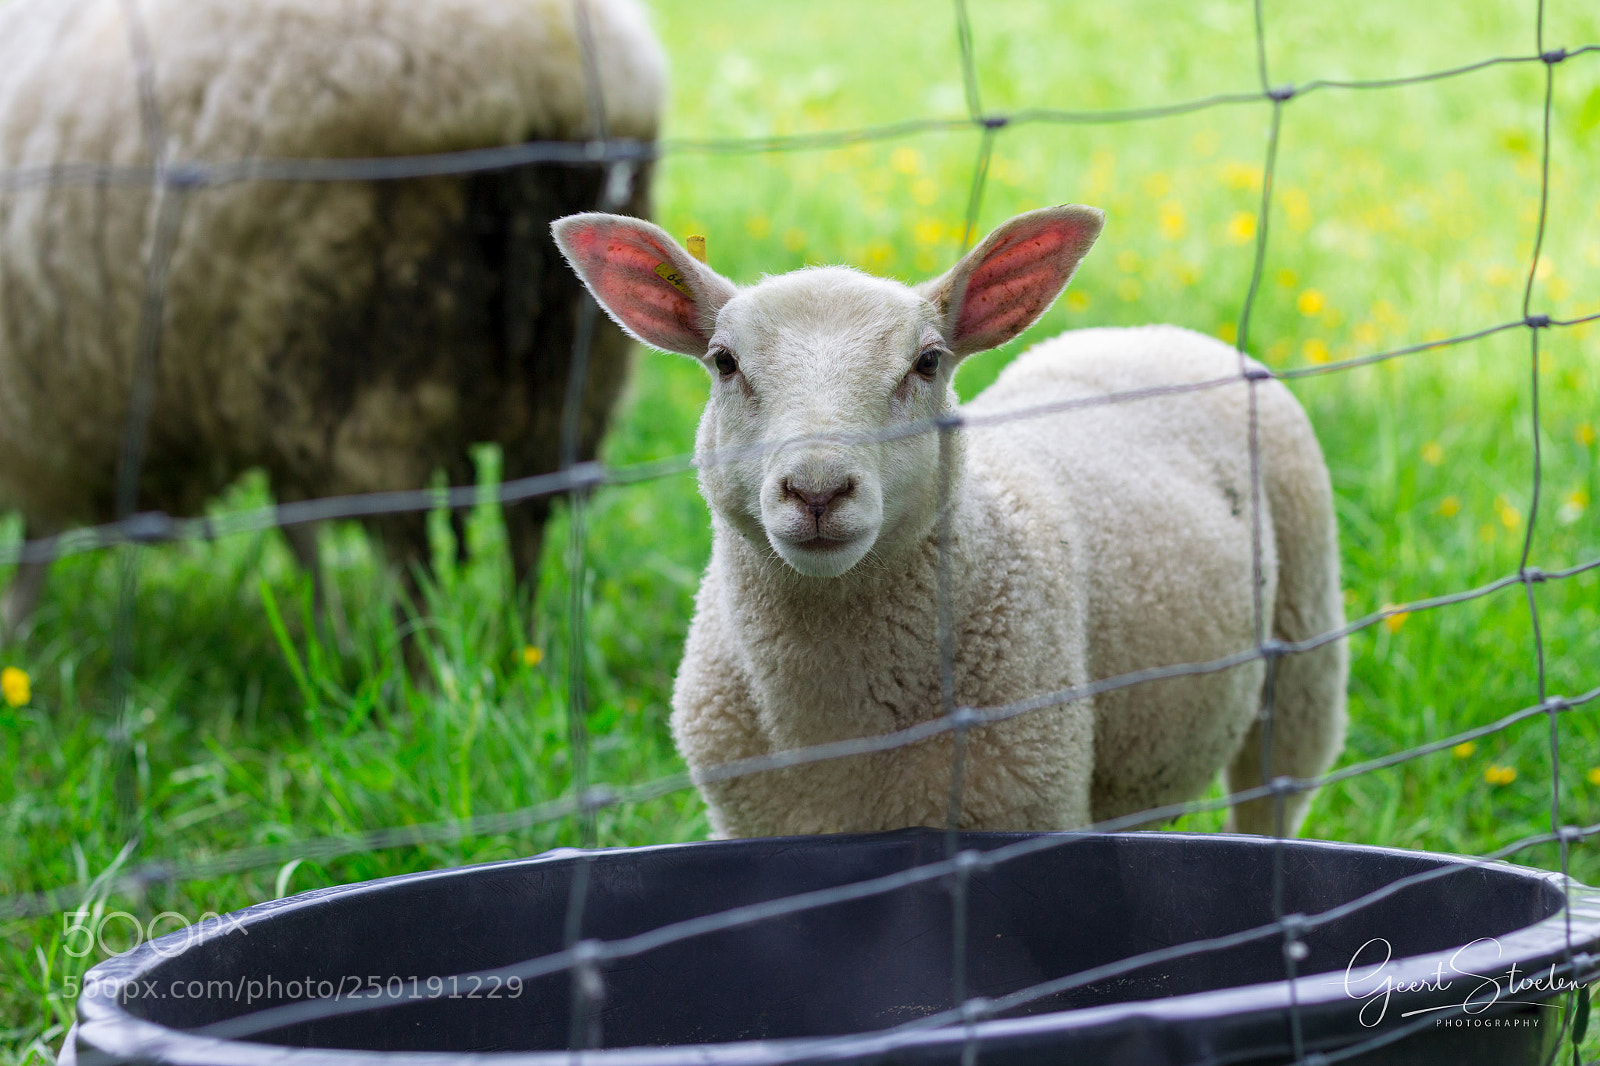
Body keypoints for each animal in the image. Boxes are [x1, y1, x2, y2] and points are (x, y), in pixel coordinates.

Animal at [0, 0, 665, 636]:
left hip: (365, 371)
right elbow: (298, 524)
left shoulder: (42, 424)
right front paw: (328, 636)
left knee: (408, 554)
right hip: (572, 376)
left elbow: (39, 535)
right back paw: (523, 652)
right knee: (526, 520)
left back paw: (422, 668)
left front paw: (16, 630)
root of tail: (541, 68)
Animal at [553, 204, 1348, 838]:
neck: (834, 731)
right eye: (723, 362)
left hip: (1303, 663)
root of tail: (1156, 333)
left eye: (928, 362)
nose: (817, 490)